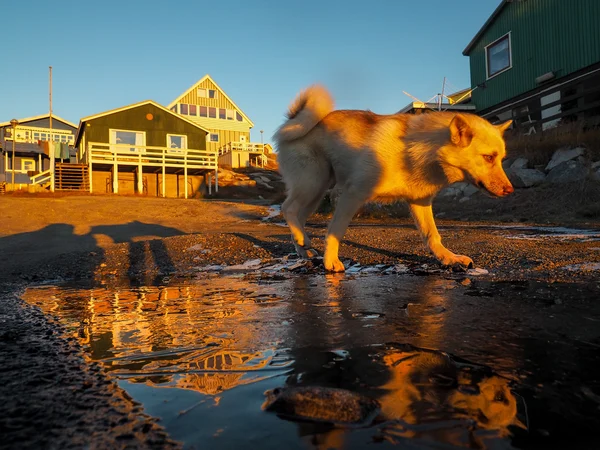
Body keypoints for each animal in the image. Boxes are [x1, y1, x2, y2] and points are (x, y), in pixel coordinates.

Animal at [274, 86, 512, 272]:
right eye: (488, 157)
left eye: (501, 158)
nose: (510, 190)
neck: (417, 152)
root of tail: (293, 120)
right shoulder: (352, 195)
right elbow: (335, 231)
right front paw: (331, 261)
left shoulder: (420, 202)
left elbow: (432, 235)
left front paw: (448, 258)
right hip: (313, 182)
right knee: (287, 208)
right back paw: (304, 241)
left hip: (317, 190)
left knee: (298, 215)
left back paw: (303, 248)